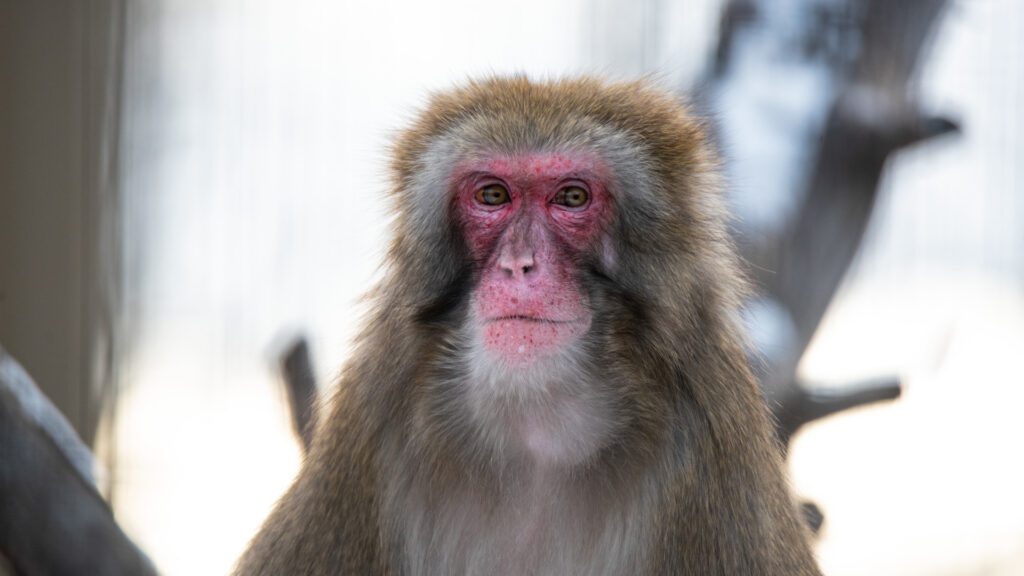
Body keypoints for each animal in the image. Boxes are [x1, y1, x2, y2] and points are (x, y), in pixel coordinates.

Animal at [235, 76, 819, 573]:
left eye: (572, 197)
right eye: (493, 195)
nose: (519, 264)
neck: (537, 429)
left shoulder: (712, 442)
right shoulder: (369, 422)